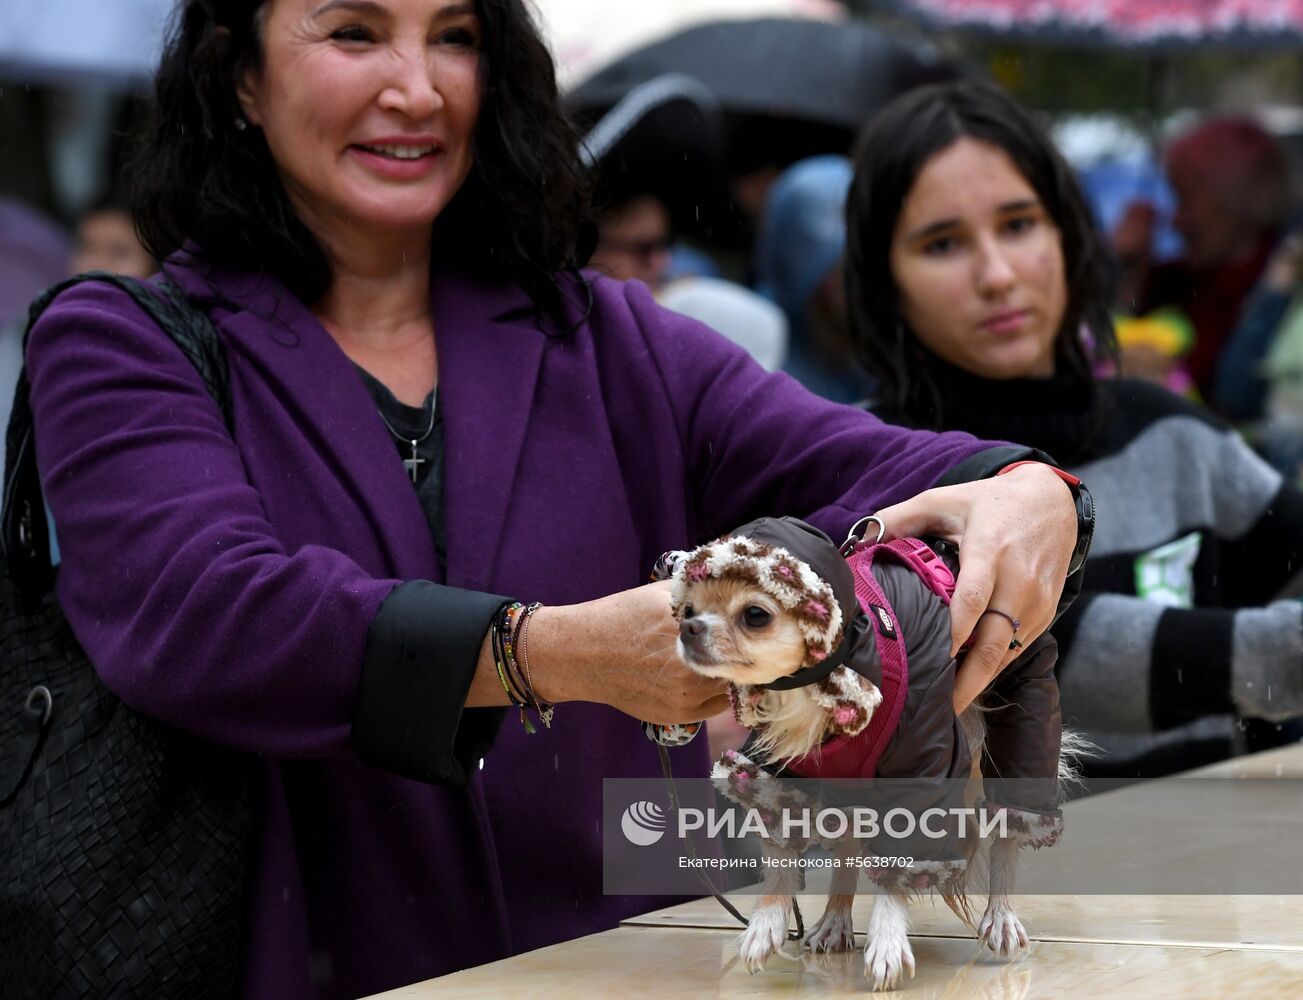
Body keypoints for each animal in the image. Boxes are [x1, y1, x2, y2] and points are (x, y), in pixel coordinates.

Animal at [667, 521, 1073, 990]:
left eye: (756, 615)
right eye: (687, 609)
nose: (689, 627)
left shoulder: (919, 774)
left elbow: (901, 863)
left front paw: (888, 940)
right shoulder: (775, 768)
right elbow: (781, 850)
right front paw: (767, 920)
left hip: (1025, 706)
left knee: (1010, 823)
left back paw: (1001, 914)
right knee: (848, 845)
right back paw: (834, 919)